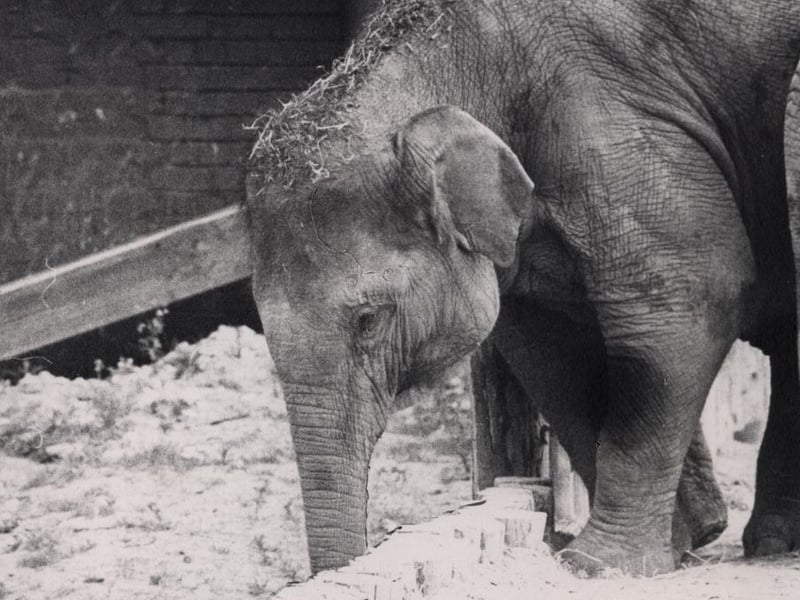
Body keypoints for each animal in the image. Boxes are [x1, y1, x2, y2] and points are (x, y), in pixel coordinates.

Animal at [245, 0, 800, 576]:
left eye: (368, 320)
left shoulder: (613, 132)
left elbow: (695, 300)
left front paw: (594, 565)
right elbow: (556, 359)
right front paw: (679, 542)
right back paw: (769, 538)